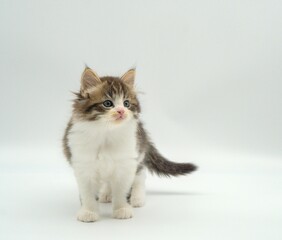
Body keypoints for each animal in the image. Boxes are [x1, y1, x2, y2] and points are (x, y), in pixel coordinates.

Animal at [62, 67, 197, 221]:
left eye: (126, 103)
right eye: (108, 103)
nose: (121, 111)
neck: (106, 133)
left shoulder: (126, 163)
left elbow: (121, 189)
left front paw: (122, 209)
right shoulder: (83, 165)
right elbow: (88, 193)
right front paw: (89, 212)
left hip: (139, 154)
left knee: (140, 176)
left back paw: (137, 198)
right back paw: (106, 194)